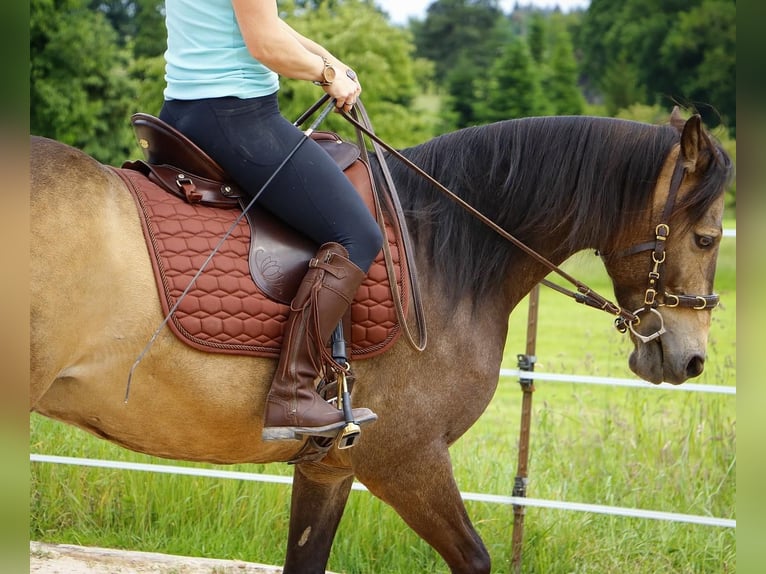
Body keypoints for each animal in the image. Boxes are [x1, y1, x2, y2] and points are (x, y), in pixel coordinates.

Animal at [30, 108, 732, 573]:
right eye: (706, 238)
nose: (691, 358)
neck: (439, 253)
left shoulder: (331, 467)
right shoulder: (408, 460)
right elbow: (475, 560)